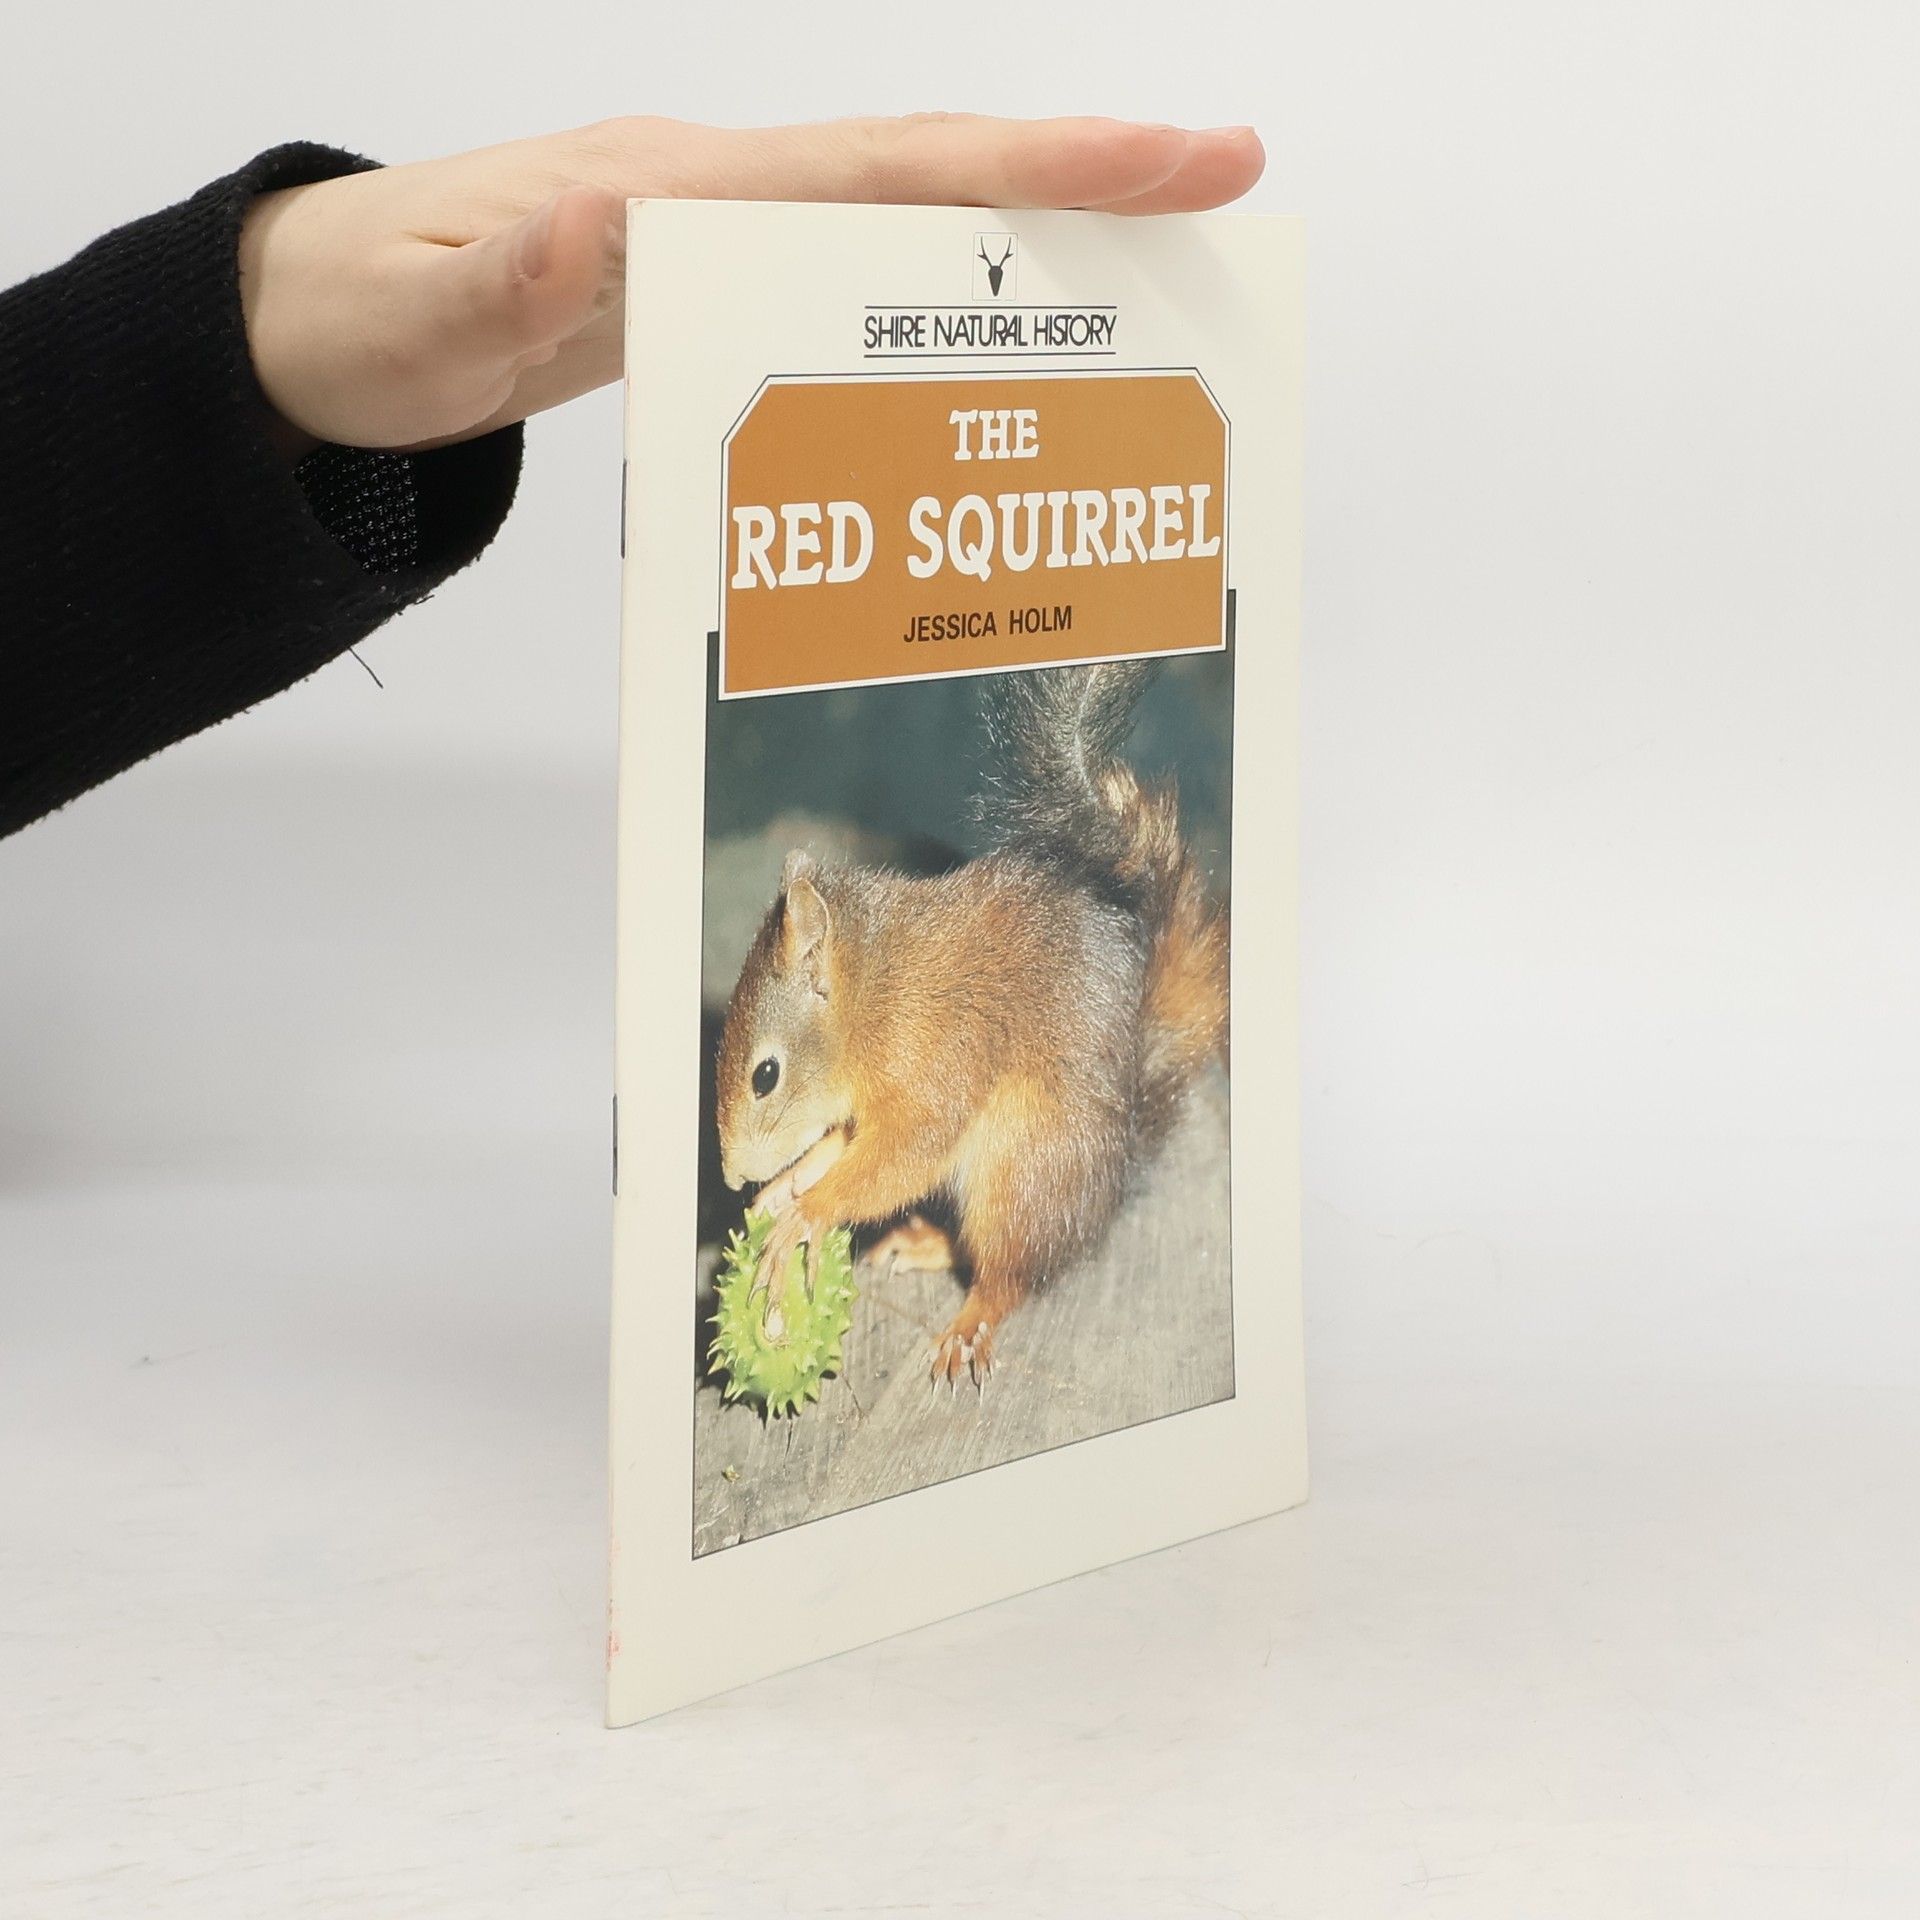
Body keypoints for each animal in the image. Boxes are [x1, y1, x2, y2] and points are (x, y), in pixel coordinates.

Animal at [714, 659, 1228, 1388]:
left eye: (765, 1075)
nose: (733, 1177)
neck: (876, 996)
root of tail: (1115, 1172)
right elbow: (839, 1146)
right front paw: (783, 1191)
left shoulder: (931, 1069)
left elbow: (898, 1159)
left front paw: (807, 1212)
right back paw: (925, 1243)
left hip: (1021, 1171)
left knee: (1010, 1275)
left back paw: (968, 1323)